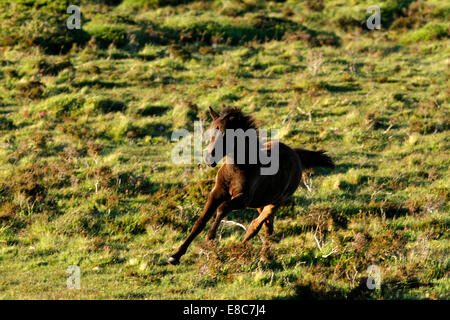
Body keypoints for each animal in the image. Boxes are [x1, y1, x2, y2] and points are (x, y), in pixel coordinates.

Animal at [169, 106, 334, 264]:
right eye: (211, 132)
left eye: (226, 134)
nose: (209, 159)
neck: (237, 169)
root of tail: (295, 154)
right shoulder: (217, 193)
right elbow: (200, 221)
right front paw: (175, 256)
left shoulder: (243, 199)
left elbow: (223, 208)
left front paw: (210, 237)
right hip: (261, 202)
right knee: (268, 227)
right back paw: (262, 253)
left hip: (275, 202)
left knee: (256, 225)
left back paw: (243, 250)